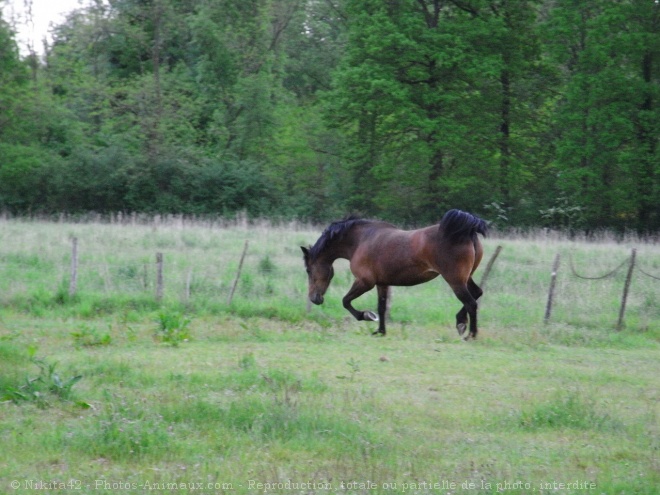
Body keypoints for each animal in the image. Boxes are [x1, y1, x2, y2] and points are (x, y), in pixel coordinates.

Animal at [302, 209, 488, 340]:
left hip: (455, 280)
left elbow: (346, 301)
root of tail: (468, 231)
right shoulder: (382, 283)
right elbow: (382, 307)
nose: (314, 298)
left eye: (308, 270)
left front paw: (366, 316)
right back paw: (461, 322)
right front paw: (380, 331)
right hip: (465, 278)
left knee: (471, 303)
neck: (361, 240)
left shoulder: (365, 281)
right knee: (477, 293)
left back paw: (470, 334)